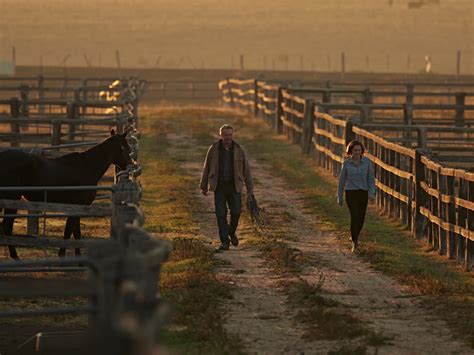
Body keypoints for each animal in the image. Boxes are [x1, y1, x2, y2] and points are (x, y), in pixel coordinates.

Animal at [0, 131, 131, 258]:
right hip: (13, 198)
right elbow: (68, 232)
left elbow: (76, 233)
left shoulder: (79, 207)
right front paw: (62, 255)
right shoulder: (76, 207)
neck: (87, 167)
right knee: (7, 226)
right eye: (127, 148)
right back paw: (15, 257)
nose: (129, 166)